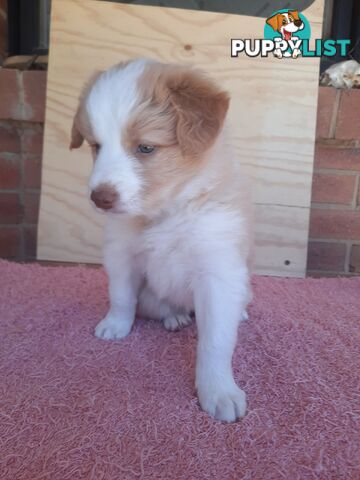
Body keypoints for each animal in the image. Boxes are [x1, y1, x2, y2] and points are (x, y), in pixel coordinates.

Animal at [69, 59, 252, 420]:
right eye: (96, 146)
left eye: (146, 147)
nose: (100, 199)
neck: (167, 212)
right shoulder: (121, 255)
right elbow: (121, 296)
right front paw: (115, 325)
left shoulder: (218, 270)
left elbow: (215, 340)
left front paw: (218, 391)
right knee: (158, 306)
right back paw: (175, 317)